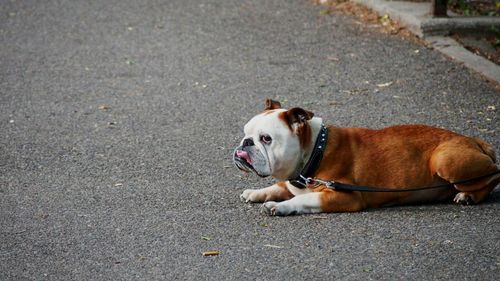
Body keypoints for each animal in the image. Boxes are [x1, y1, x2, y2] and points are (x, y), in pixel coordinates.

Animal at [234, 98, 500, 214]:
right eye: (246, 132)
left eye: (266, 139)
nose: (245, 143)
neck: (315, 149)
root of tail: (475, 141)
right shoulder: (292, 182)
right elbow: (279, 187)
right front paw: (257, 192)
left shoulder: (343, 197)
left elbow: (303, 199)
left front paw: (279, 207)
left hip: (444, 160)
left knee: (491, 179)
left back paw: (468, 196)